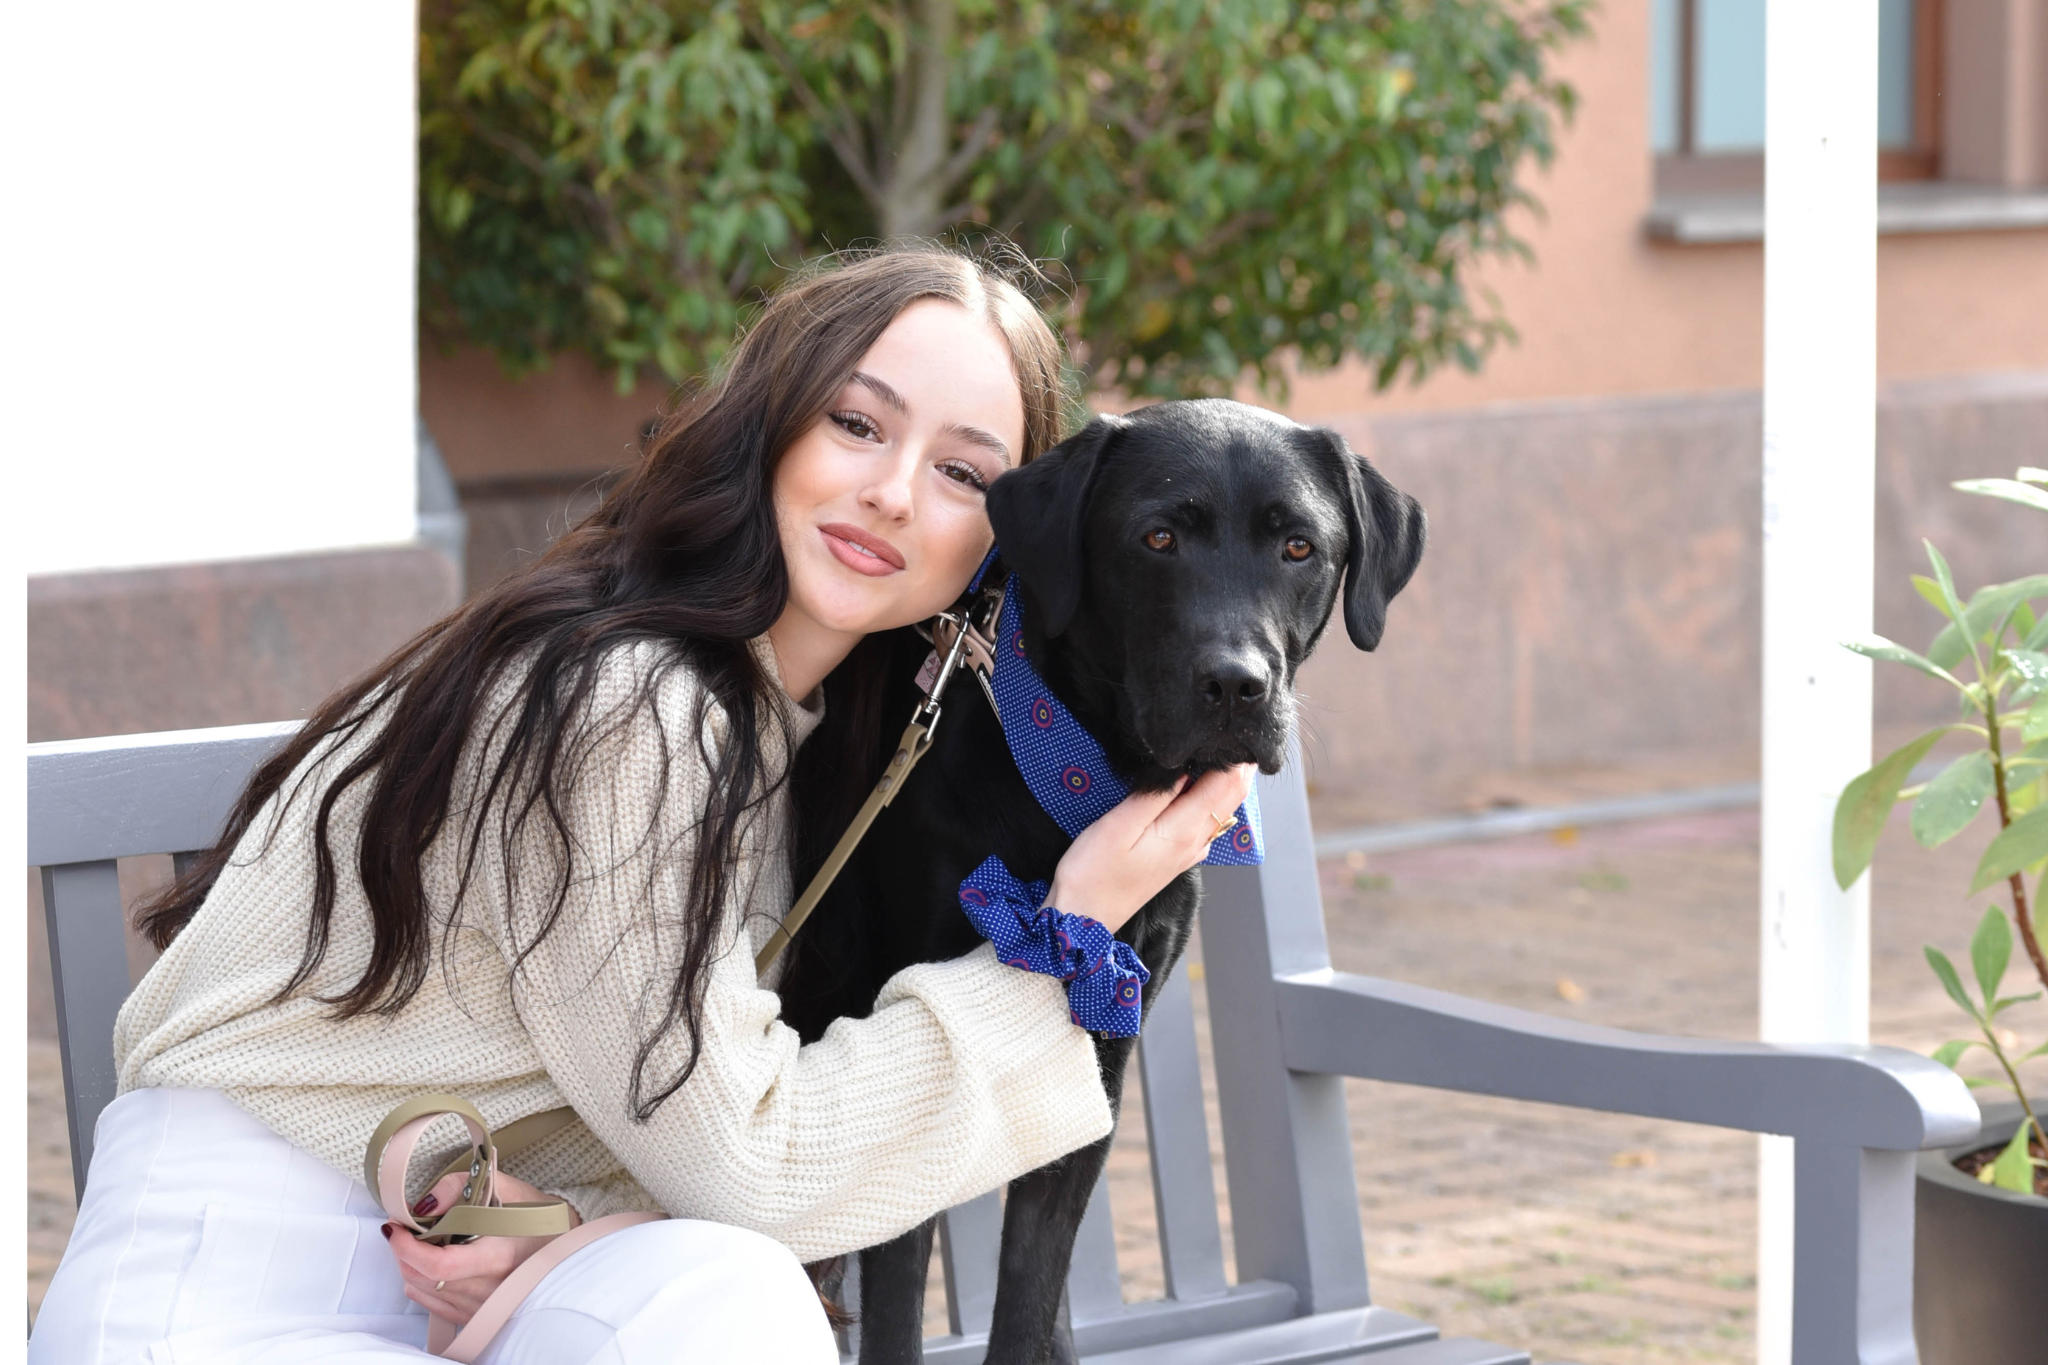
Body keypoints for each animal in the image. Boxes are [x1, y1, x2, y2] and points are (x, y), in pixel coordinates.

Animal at [774, 401, 1417, 1358]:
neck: (1077, 787)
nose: (1237, 685)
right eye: (1157, 537)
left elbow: (1031, 1294)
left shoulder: (1099, 1052)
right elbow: (896, 1312)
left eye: (1300, 546)